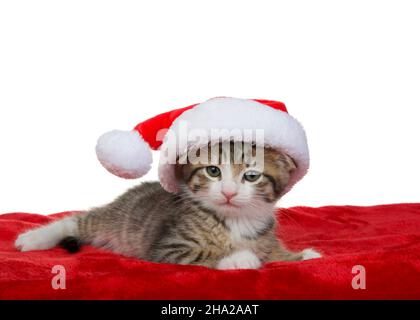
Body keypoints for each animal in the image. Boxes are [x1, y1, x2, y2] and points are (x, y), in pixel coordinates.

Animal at [13, 141, 322, 268]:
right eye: (213, 171)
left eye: (251, 176)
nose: (229, 192)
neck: (235, 221)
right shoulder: (169, 247)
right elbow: (204, 254)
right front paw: (240, 258)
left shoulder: (265, 237)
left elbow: (274, 254)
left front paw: (302, 256)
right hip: (114, 219)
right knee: (77, 219)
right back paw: (33, 238)